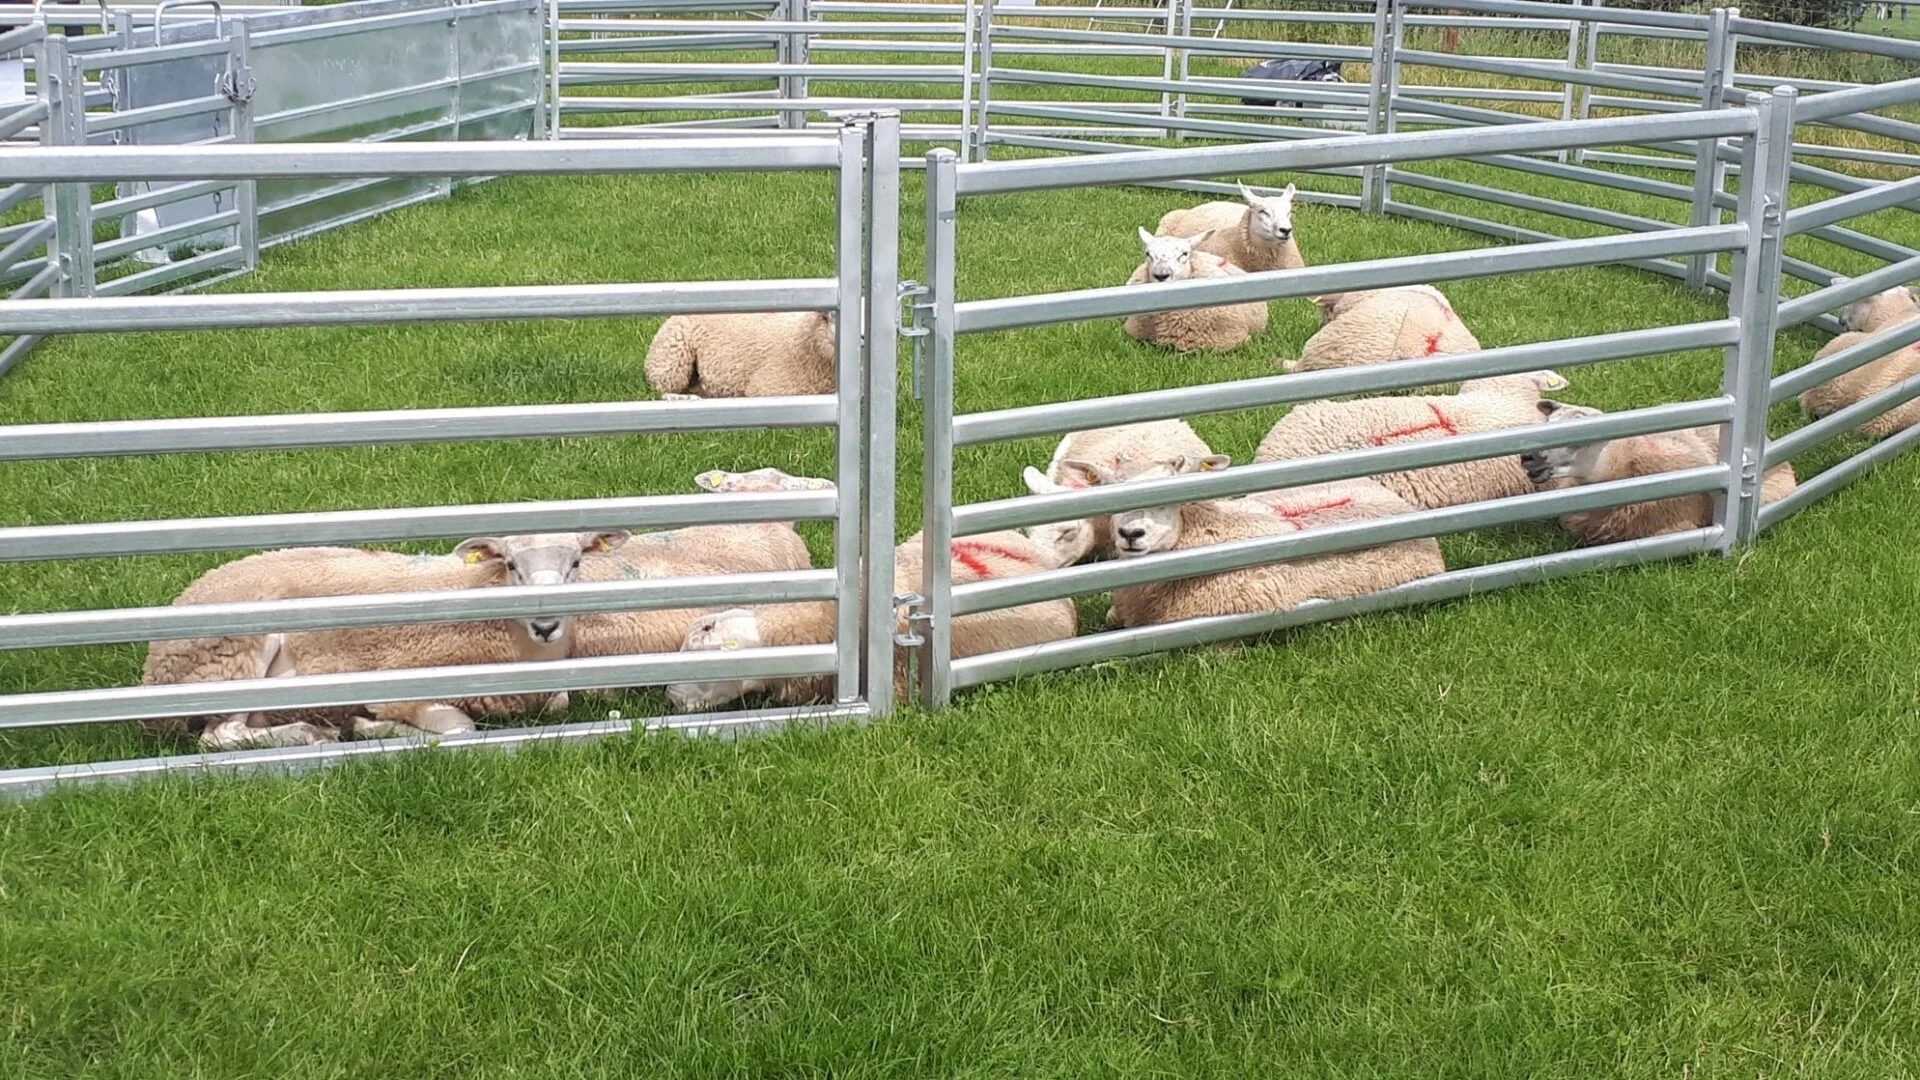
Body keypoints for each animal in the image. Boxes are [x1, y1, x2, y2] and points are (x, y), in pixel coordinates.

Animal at [142, 530, 630, 750]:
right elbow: (459, 728)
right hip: (236, 656)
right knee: (218, 736)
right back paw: (310, 732)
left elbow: (560, 702)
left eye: (576, 563)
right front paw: (366, 727)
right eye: (512, 566)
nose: (546, 626)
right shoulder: (405, 690)